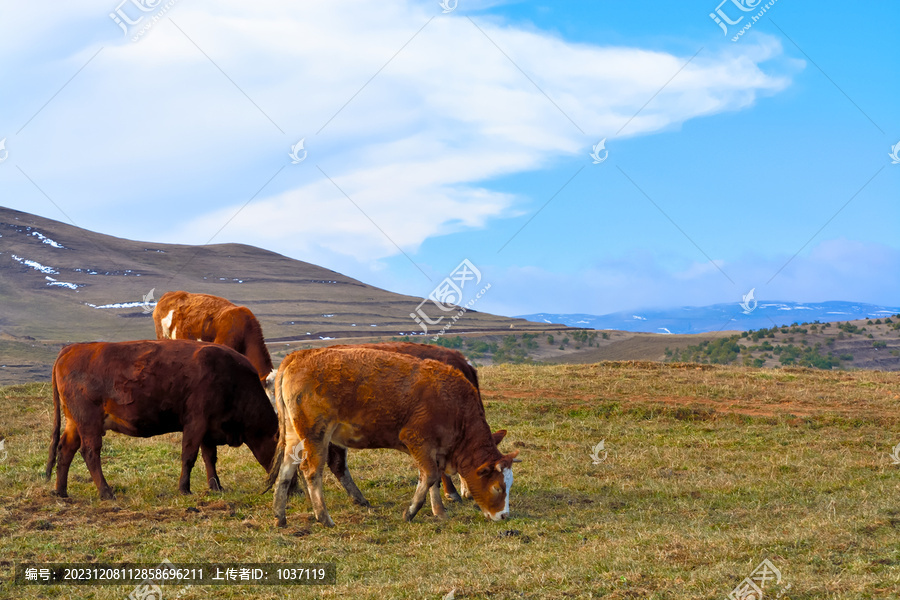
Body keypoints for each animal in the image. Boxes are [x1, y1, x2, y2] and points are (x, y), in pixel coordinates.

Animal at [44, 340, 278, 500]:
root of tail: (72, 348)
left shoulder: (208, 428)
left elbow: (209, 458)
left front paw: (216, 487)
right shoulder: (196, 423)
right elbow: (189, 456)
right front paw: (184, 489)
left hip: (75, 423)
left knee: (65, 449)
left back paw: (61, 491)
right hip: (89, 421)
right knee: (90, 452)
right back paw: (106, 492)